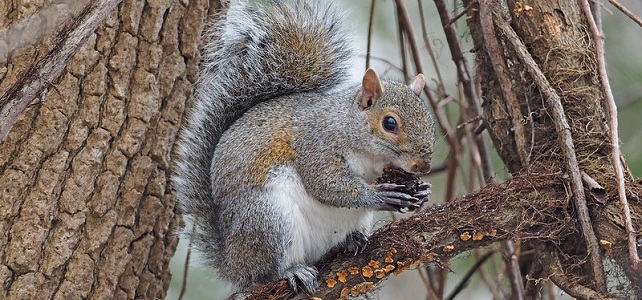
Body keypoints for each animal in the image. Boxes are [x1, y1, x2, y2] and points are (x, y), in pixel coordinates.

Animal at [170, 0, 432, 296]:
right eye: (390, 123)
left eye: (429, 119)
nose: (423, 165)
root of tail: (233, 263)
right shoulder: (316, 144)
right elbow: (326, 183)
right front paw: (378, 195)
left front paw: (421, 191)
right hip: (268, 218)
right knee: (268, 272)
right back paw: (291, 271)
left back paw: (350, 241)